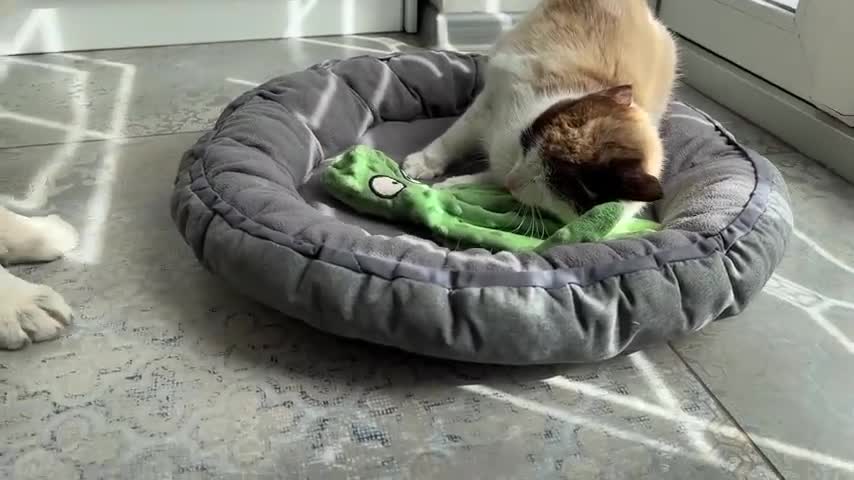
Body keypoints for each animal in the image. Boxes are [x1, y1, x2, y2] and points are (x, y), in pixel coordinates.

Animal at [404, 0, 680, 224]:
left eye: (558, 186)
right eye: (529, 142)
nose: (513, 182)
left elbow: (489, 178)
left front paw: (456, 186)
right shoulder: (488, 105)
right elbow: (452, 140)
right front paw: (421, 166)